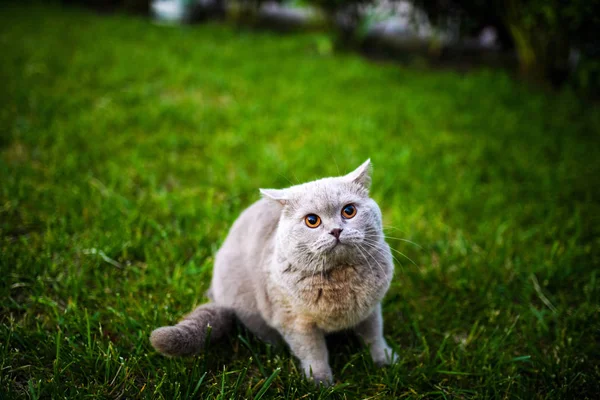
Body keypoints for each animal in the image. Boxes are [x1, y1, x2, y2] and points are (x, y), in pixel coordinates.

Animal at [150, 159, 396, 384]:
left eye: (349, 211)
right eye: (312, 220)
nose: (336, 230)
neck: (340, 279)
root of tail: (215, 294)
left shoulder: (370, 308)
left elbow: (374, 334)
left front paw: (385, 361)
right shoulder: (294, 321)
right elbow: (313, 352)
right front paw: (320, 382)